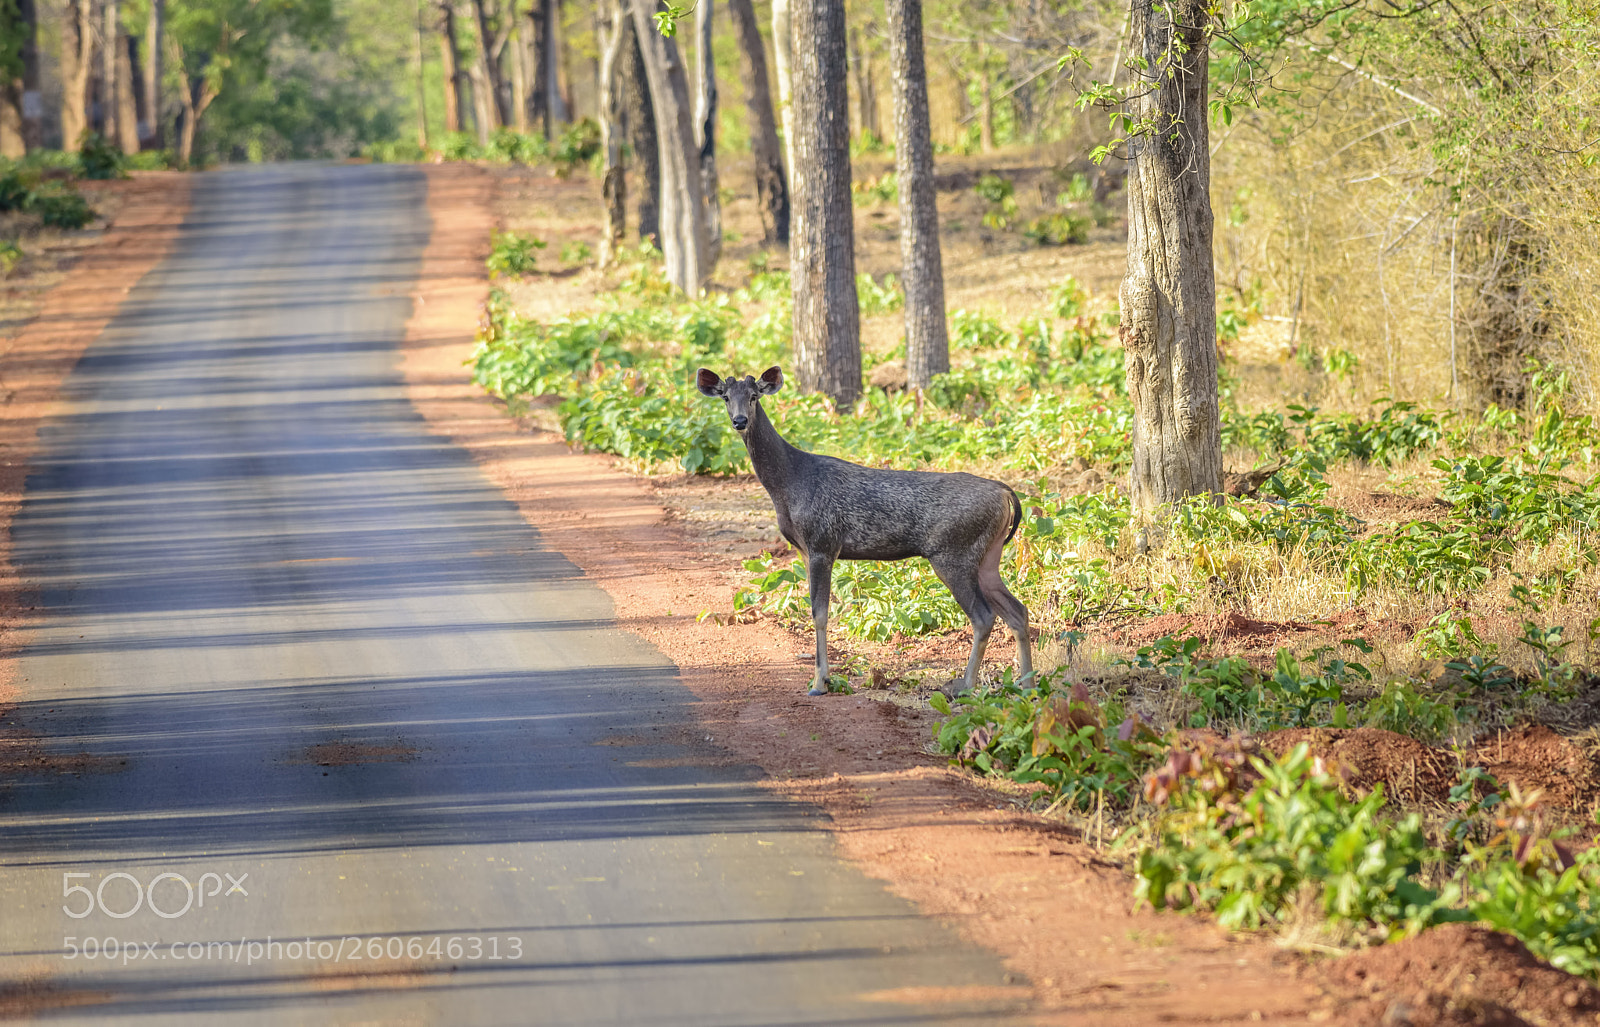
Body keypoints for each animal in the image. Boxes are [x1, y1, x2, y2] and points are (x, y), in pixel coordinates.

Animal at [697, 366, 1033, 697]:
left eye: (754, 396)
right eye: (726, 397)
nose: (739, 421)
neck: (788, 484)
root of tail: (1006, 494)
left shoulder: (823, 542)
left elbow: (820, 613)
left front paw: (819, 683)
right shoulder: (805, 549)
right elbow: (817, 610)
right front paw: (824, 678)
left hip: (953, 552)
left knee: (984, 617)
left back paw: (965, 686)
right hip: (987, 555)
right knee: (1018, 611)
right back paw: (1026, 685)